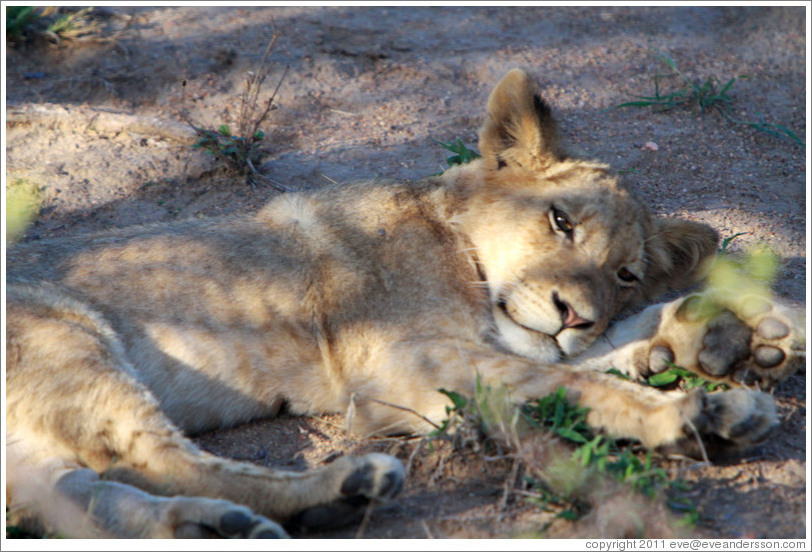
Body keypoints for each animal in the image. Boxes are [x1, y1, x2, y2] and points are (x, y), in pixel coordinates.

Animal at [5, 68, 804, 539]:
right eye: (561, 221)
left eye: (627, 274)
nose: (575, 314)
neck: (460, 249)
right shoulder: (405, 366)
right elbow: (573, 382)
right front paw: (697, 410)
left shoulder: (471, 344)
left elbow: (590, 360)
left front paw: (736, 338)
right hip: (68, 340)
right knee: (157, 457)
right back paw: (338, 486)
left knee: (83, 495)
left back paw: (243, 520)